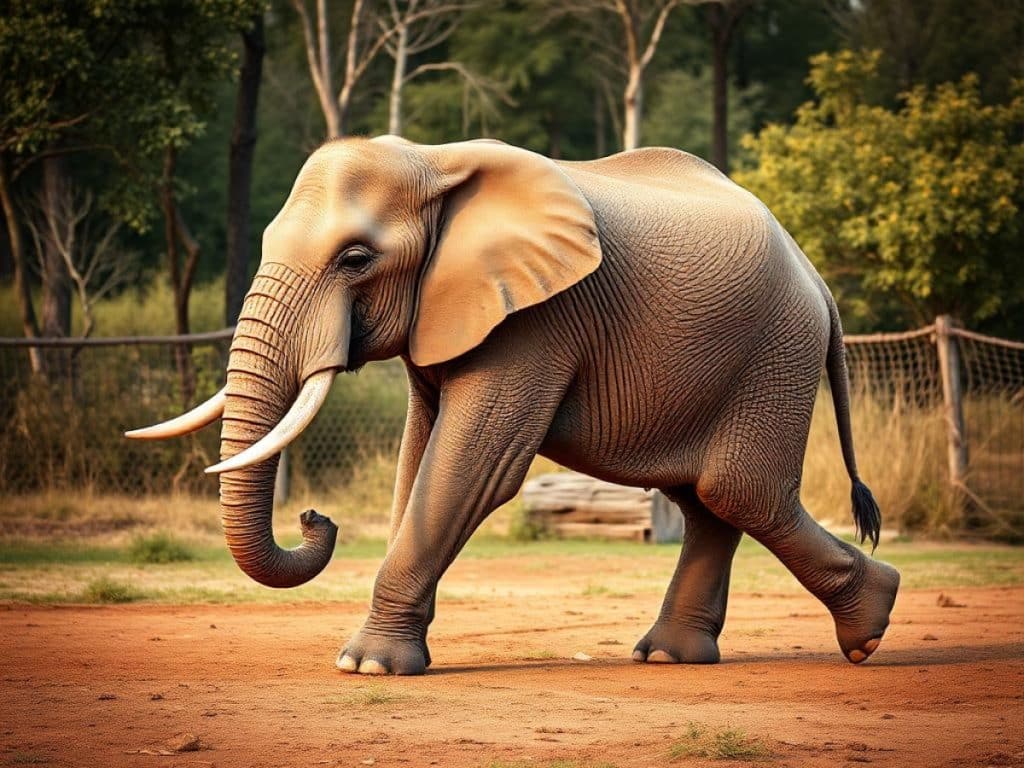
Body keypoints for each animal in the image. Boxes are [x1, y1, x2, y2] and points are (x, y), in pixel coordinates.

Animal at [128, 135, 900, 676]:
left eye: (355, 259)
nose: (316, 517)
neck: (433, 162)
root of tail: (817, 279)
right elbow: (419, 459)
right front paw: (386, 656)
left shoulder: (539, 320)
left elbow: (472, 465)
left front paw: (365, 664)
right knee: (710, 501)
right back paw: (670, 656)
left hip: (775, 353)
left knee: (738, 491)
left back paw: (868, 632)